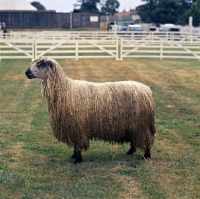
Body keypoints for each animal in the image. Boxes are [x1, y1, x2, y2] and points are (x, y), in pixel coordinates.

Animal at [25, 56, 156, 164]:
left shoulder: (78, 126)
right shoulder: (74, 126)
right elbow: (75, 144)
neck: (66, 90)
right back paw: (130, 151)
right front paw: (74, 155)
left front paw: (77, 159)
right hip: (134, 125)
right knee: (135, 139)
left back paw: (146, 155)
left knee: (147, 139)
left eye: (40, 64)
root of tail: (147, 90)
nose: (26, 73)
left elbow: (78, 144)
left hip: (141, 125)